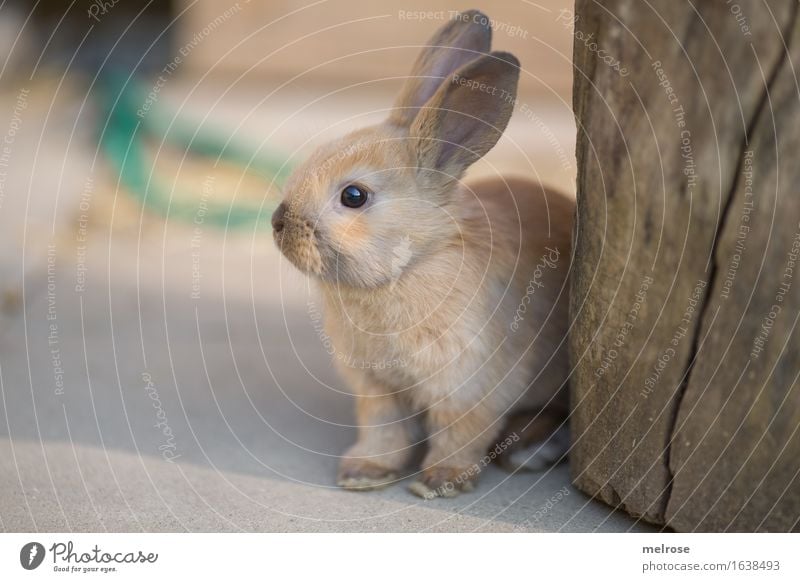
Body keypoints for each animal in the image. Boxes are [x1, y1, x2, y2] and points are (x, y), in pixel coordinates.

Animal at [272, 9, 572, 500]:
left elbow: (459, 435)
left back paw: (529, 449)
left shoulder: (468, 386)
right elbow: (384, 431)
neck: (413, 264)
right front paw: (365, 473)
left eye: (354, 196)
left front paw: (440, 482)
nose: (279, 222)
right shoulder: (378, 389)